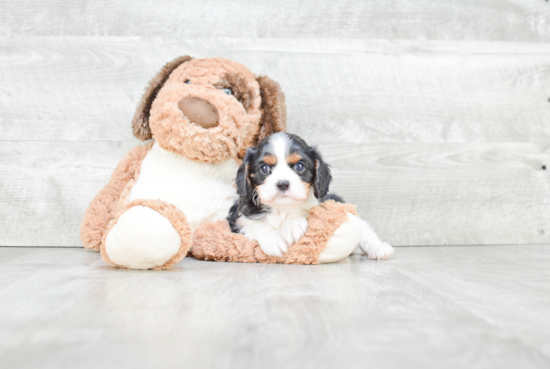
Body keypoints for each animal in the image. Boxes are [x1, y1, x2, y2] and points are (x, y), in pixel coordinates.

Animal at [226, 132, 394, 258]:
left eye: (299, 166)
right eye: (264, 168)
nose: (283, 183)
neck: (281, 209)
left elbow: (305, 209)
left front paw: (293, 224)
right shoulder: (235, 220)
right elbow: (253, 225)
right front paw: (273, 239)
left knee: (364, 229)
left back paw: (379, 248)